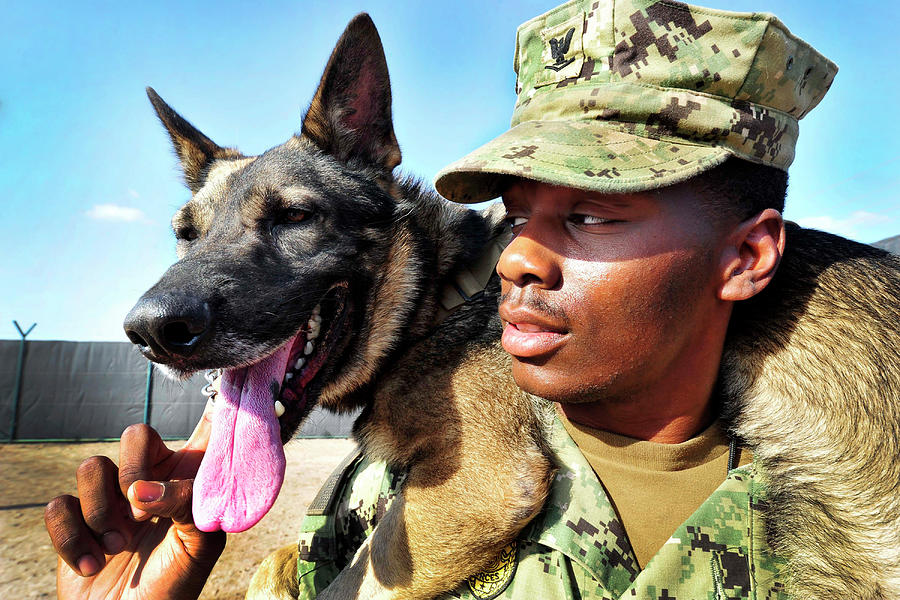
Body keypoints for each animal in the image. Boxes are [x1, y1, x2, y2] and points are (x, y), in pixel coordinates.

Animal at [125, 12, 900, 600]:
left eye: (294, 216)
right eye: (184, 234)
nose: (150, 329)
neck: (438, 297)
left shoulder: (477, 488)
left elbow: (341, 578)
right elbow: (279, 559)